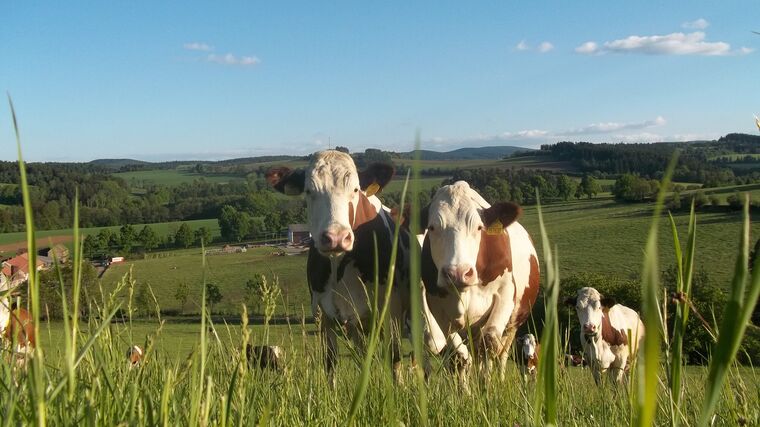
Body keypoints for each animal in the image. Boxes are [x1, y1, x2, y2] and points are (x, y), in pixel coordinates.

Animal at [268, 150, 422, 388]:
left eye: (356, 189)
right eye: (309, 191)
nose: (336, 237)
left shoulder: (391, 309)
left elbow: (395, 357)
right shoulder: (323, 313)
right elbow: (331, 362)